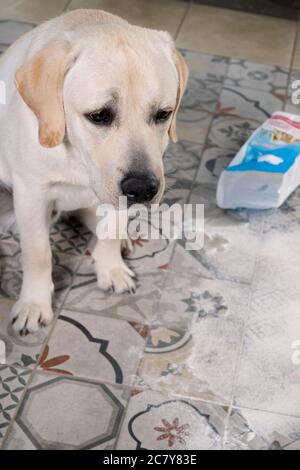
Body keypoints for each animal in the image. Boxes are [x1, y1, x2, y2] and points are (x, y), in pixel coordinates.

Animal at [0, 10, 188, 334]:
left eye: (163, 114)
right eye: (99, 115)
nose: (143, 190)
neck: (78, 157)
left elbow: (110, 232)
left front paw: (111, 268)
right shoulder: (31, 195)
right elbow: (38, 254)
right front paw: (34, 303)